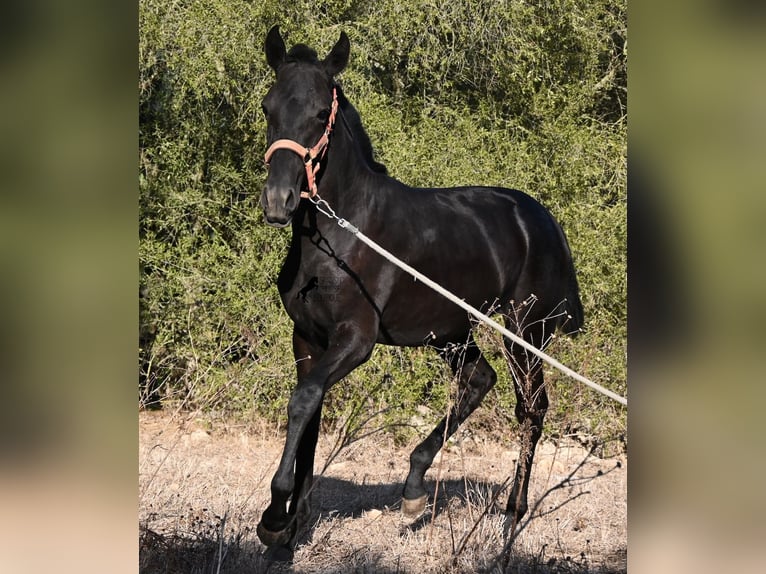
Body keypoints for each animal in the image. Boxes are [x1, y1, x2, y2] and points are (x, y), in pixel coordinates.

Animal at [256, 25, 584, 557]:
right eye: (268, 107)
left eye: (320, 113)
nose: (278, 202)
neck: (338, 235)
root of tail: (543, 219)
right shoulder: (306, 339)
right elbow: (311, 411)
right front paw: (290, 527)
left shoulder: (356, 339)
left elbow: (303, 401)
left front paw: (274, 516)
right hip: (451, 333)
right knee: (479, 381)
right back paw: (413, 489)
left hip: (524, 332)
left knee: (530, 409)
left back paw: (511, 518)